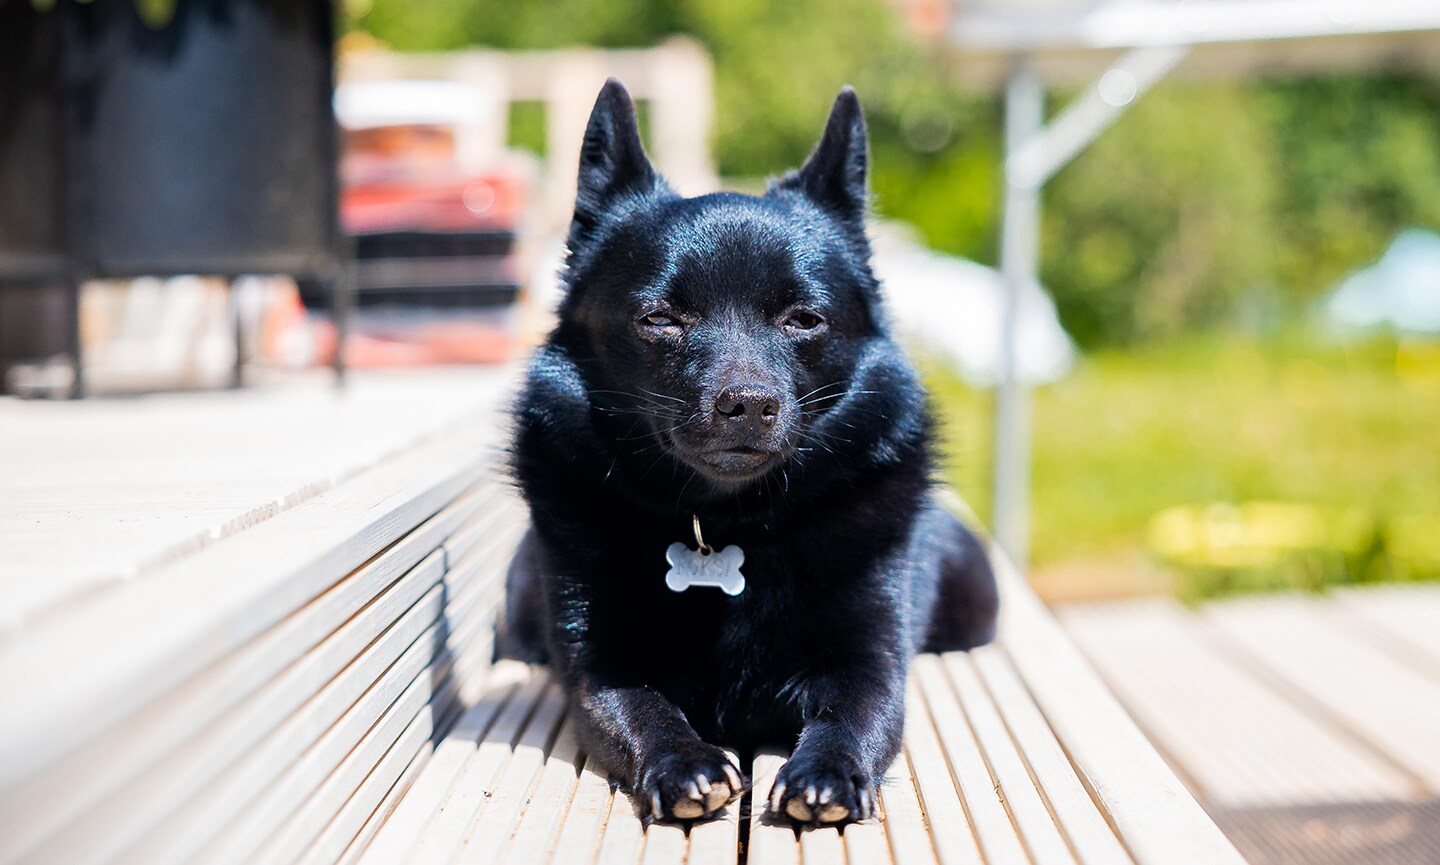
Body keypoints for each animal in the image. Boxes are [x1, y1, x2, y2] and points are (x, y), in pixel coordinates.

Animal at [501, 79, 996, 823]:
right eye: (660, 319)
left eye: (804, 319)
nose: (750, 404)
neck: (725, 523)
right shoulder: (600, 663)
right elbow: (637, 708)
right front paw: (683, 763)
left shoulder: (868, 660)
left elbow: (858, 714)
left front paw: (827, 772)